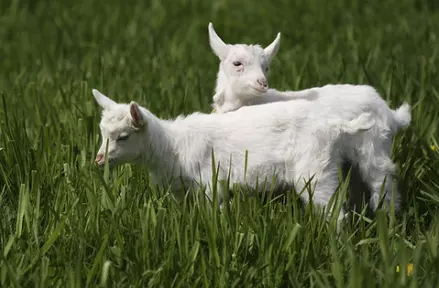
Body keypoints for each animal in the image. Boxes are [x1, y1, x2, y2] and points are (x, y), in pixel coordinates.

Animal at [93, 87, 410, 218]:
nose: (98, 159)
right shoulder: (180, 188)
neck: (173, 144)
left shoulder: (211, 182)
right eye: (102, 134)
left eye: (123, 137)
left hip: (320, 168)